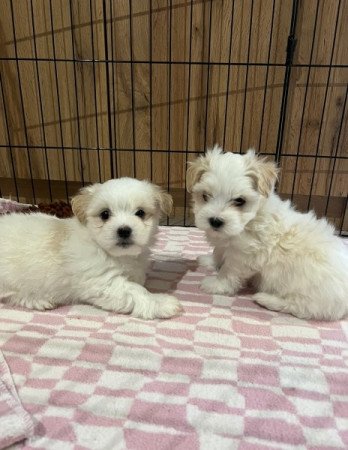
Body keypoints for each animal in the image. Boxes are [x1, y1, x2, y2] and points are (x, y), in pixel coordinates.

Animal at [0, 177, 184, 320]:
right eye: (105, 214)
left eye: (140, 213)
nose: (124, 230)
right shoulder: (103, 281)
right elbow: (136, 291)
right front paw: (161, 302)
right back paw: (38, 300)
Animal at [188, 147, 348, 320]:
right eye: (205, 196)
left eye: (239, 200)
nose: (215, 221)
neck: (250, 221)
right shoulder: (226, 243)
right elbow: (218, 252)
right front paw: (209, 261)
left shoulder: (244, 256)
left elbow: (229, 271)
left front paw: (217, 284)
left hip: (311, 292)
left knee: (299, 307)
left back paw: (265, 299)